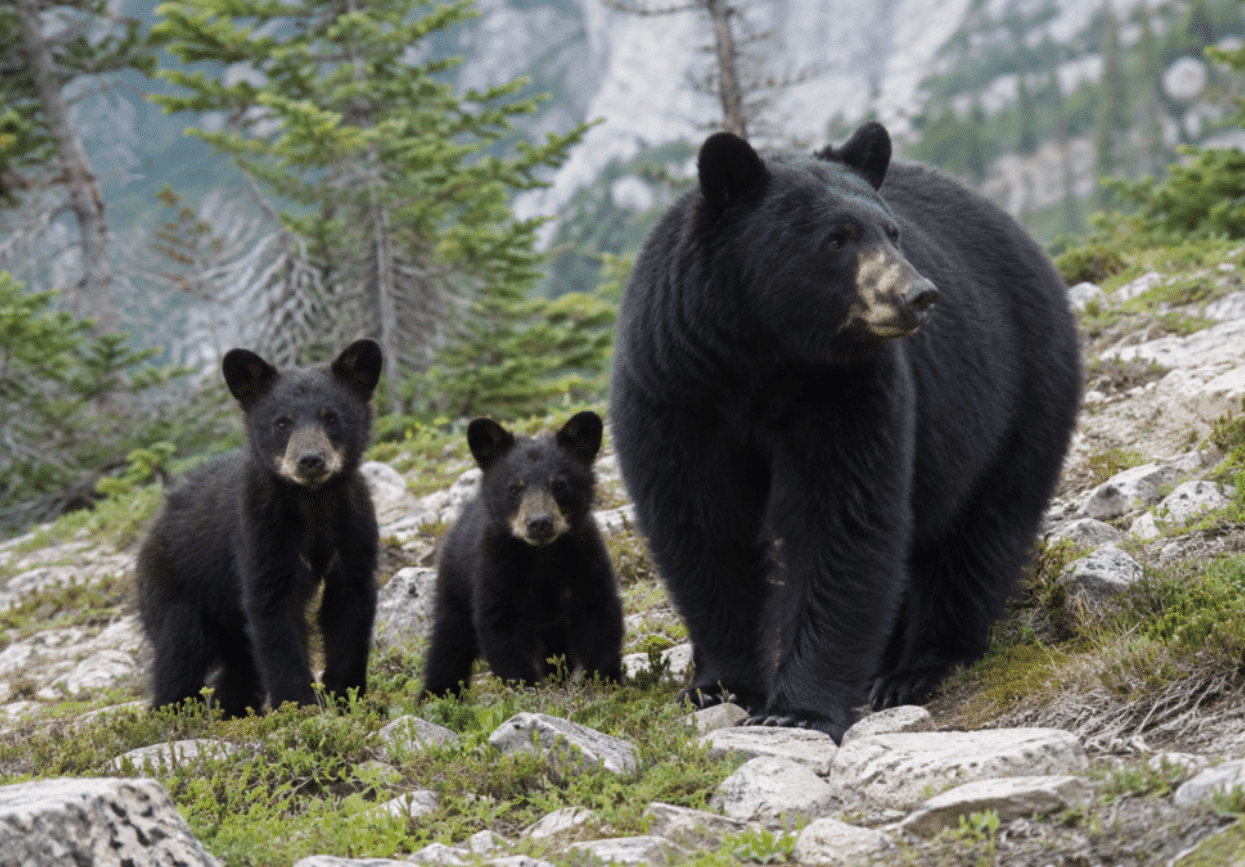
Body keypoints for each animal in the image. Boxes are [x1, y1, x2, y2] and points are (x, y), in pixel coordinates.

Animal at [135, 339, 383, 717]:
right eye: (282, 422)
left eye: (331, 417)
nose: (310, 460)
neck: (313, 502)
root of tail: (152, 528)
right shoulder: (260, 533)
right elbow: (273, 615)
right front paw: (299, 704)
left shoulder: (353, 528)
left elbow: (349, 611)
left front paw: (345, 697)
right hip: (176, 587)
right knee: (180, 653)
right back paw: (174, 713)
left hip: (226, 617)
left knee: (239, 665)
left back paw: (233, 712)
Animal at [420, 411, 624, 698]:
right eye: (515, 489)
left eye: (559, 485)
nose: (539, 523)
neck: (542, 555)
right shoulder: (496, 569)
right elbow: (502, 629)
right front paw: (526, 689)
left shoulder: (584, 560)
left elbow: (599, 614)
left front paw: (605, 683)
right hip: (455, 582)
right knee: (449, 640)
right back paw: (438, 695)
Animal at [609, 122, 1081, 743]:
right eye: (836, 239)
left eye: (893, 232)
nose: (918, 295)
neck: (763, 355)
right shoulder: (675, 391)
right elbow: (701, 527)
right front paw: (718, 685)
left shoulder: (848, 392)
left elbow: (841, 517)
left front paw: (797, 707)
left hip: (1020, 393)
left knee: (981, 533)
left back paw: (918, 667)